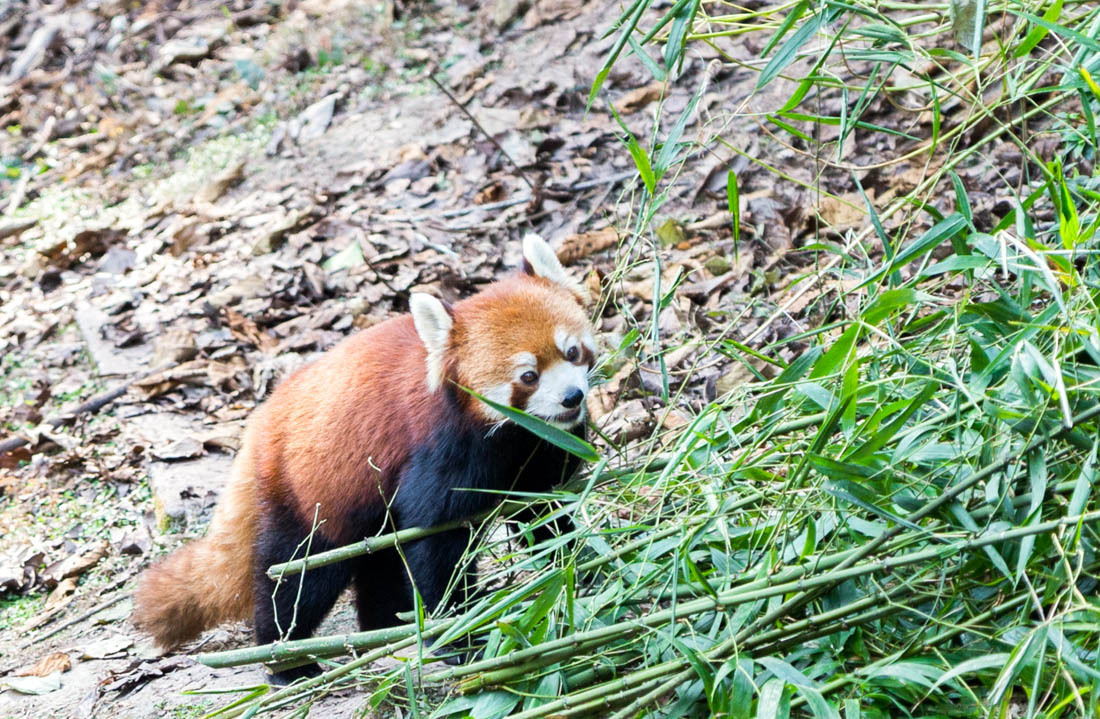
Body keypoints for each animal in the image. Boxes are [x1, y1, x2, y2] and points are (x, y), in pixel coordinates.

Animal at [133, 235, 598, 681]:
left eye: (572, 352)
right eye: (528, 376)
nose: (571, 397)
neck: (512, 434)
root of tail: (260, 427)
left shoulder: (533, 450)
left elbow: (542, 509)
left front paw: (576, 567)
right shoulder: (441, 449)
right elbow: (435, 542)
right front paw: (458, 633)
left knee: (380, 560)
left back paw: (386, 626)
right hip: (309, 495)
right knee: (298, 574)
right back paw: (286, 659)